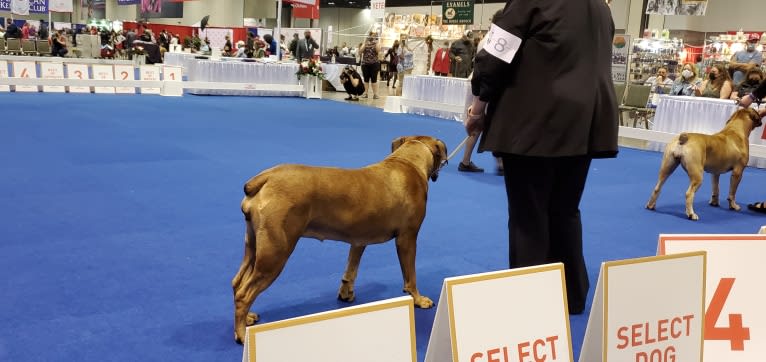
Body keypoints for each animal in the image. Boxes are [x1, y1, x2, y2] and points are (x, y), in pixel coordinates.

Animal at [231, 135, 448, 342]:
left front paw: (346, 294)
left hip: (253, 246)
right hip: (275, 253)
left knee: (237, 283)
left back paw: (247, 318)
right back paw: (241, 334)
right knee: (244, 294)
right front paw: (418, 299)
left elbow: (350, 270)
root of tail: (265, 178)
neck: (408, 161)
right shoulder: (407, 239)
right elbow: (410, 276)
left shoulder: (359, 240)